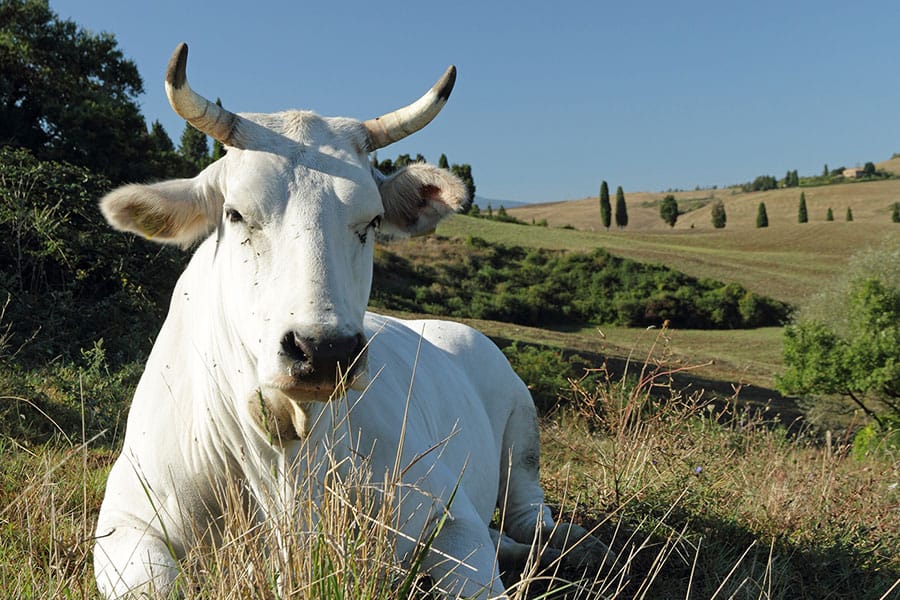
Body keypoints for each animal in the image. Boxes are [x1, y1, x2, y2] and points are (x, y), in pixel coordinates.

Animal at [93, 44, 612, 596]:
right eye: (234, 214)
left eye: (373, 220)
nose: (326, 351)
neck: (286, 444)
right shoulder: (125, 526)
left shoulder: (448, 514)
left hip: (523, 429)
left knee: (528, 514)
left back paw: (575, 545)